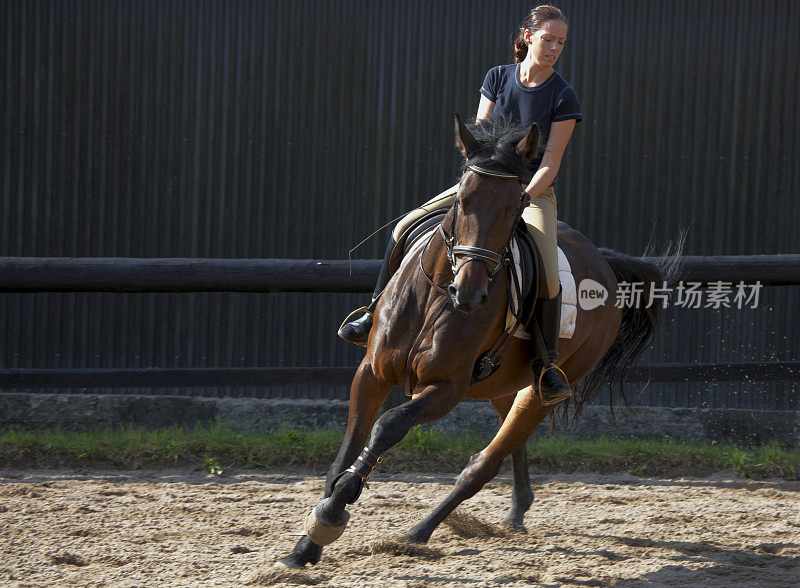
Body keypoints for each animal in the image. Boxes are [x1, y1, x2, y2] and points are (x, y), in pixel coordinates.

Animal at [278, 112, 672, 568]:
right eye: (463, 200)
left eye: (516, 205)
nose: (468, 294)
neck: (437, 297)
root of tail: (604, 262)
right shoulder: (372, 373)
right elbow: (348, 448)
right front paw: (308, 541)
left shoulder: (446, 388)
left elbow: (388, 425)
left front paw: (331, 513)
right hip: (504, 384)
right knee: (509, 440)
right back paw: (517, 510)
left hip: (544, 387)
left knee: (485, 463)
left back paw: (419, 532)